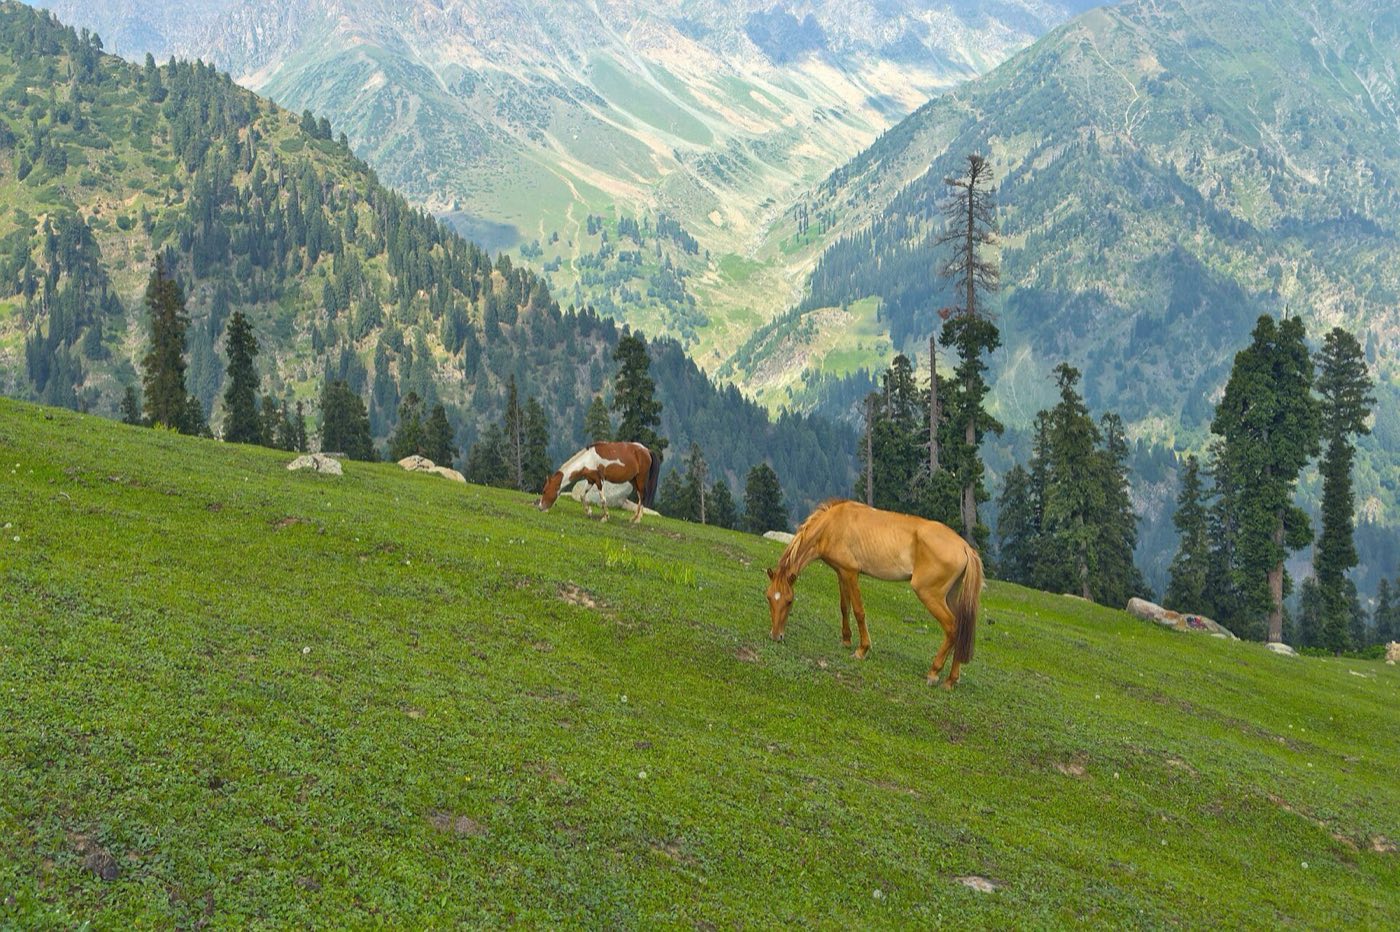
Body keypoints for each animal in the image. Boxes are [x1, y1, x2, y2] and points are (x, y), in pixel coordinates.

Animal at [765, 499, 984, 689]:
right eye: (768, 598)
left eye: (789, 601)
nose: (776, 636)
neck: (833, 525)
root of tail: (965, 547)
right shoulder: (841, 573)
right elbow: (844, 607)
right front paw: (846, 640)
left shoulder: (851, 573)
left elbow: (858, 611)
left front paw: (862, 650)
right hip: (950, 596)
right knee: (961, 627)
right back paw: (951, 679)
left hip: (930, 595)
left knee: (952, 627)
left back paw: (934, 673)